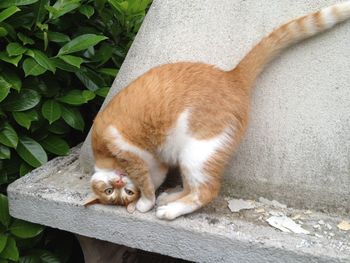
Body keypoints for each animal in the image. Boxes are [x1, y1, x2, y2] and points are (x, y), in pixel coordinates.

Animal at [85, 2, 350, 221]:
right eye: (111, 192)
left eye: (123, 191)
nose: (119, 180)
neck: (106, 161)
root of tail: (231, 76)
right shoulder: (155, 162)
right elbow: (155, 178)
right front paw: (151, 195)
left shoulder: (127, 149)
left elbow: (146, 182)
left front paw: (145, 203)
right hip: (189, 157)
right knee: (191, 187)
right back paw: (171, 197)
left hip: (197, 153)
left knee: (206, 191)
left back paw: (170, 210)